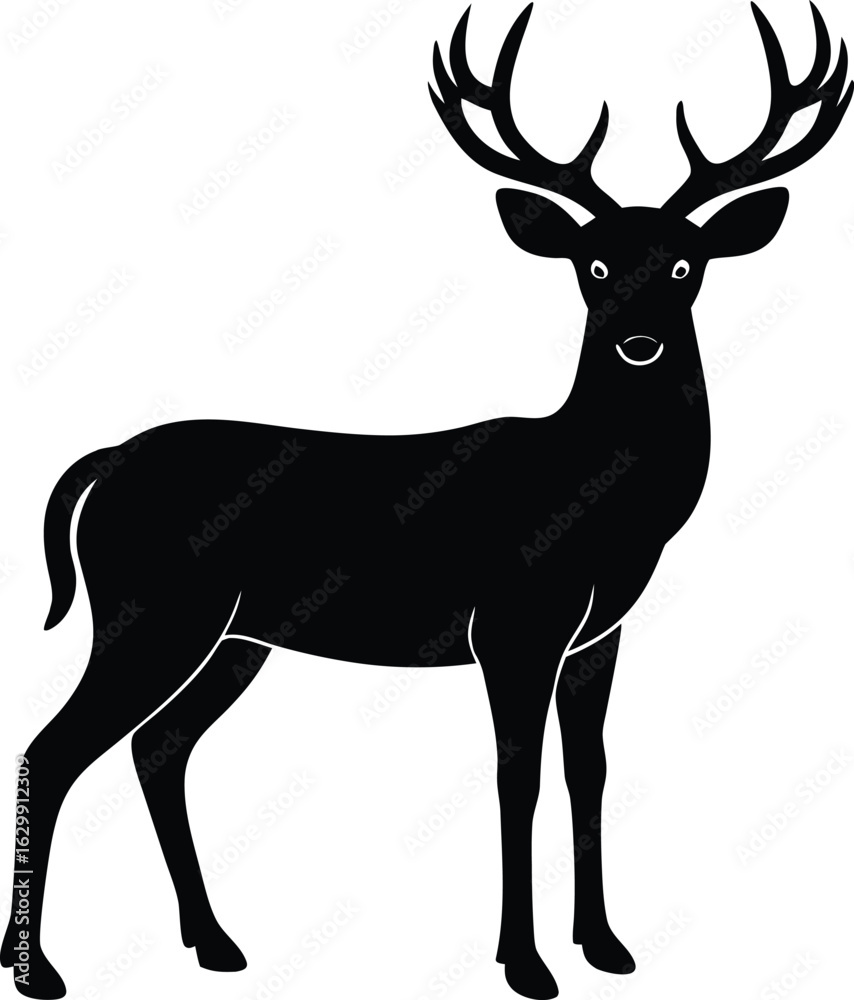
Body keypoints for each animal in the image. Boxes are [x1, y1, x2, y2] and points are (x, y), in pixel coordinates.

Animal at [2, 3, 850, 999]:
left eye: (686, 265)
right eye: (593, 266)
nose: (639, 343)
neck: (599, 501)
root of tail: (105, 463)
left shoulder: (599, 633)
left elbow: (590, 771)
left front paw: (606, 946)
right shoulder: (515, 621)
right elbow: (517, 777)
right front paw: (525, 963)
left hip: (234, 637)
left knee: (156, 747)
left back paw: (212, 942)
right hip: (151, 610)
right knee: (54, 747)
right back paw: (40, 969)